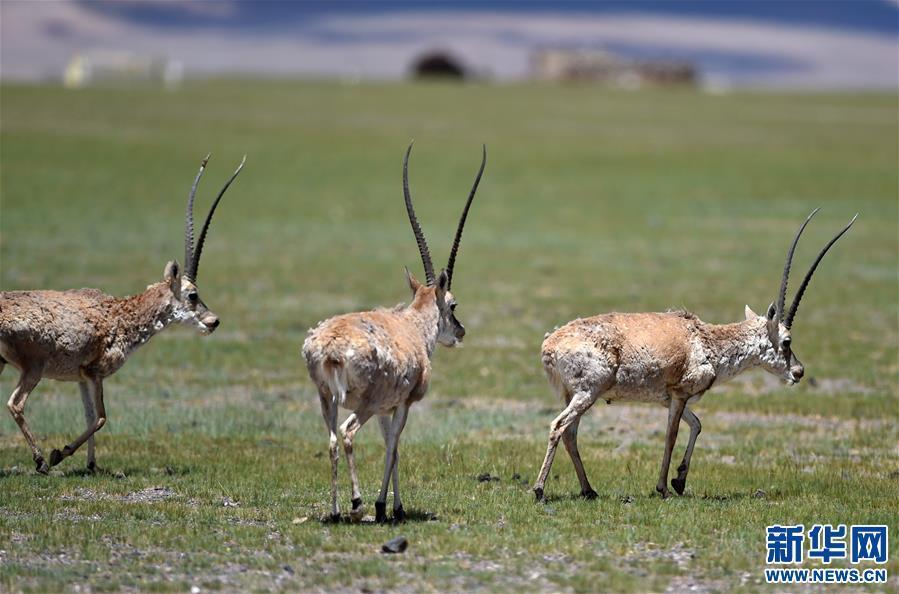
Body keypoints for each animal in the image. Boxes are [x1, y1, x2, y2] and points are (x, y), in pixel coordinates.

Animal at [0, 154, 244, 472]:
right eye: (192, 295)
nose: (213, 321)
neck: (120, 313)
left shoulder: (81, 378)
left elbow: (89, 416)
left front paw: (91, 466)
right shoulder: (95, 373)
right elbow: (102, 417)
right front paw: (59, 454)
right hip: (34, 368)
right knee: (15, 404)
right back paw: (41, 460)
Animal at [302, 143, 486, 524]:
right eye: (453, 303)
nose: (460, 331)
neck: (413, 326)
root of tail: (330, 348)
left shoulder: (387, 411)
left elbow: (392, 447)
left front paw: (390, 504)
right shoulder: (401, 405)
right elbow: (395, 447)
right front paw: (388, 506)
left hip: (327, 399)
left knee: (331, 440)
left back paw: (336, 511)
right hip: (364, 404)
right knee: (347, 433)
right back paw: (357, 504)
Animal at [536, 209, 856, 500]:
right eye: (787, 341)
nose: (799, 372)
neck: (705, 339)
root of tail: (550, 344)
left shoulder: (670, 398)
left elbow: (697, 425)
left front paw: (679, 481)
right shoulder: (679, 395)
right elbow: (671, 436)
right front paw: (664, 487)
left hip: (576, 395)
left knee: (570, 434)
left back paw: (589, 490)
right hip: (588, 392)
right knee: (559, 426)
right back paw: (540, 490)